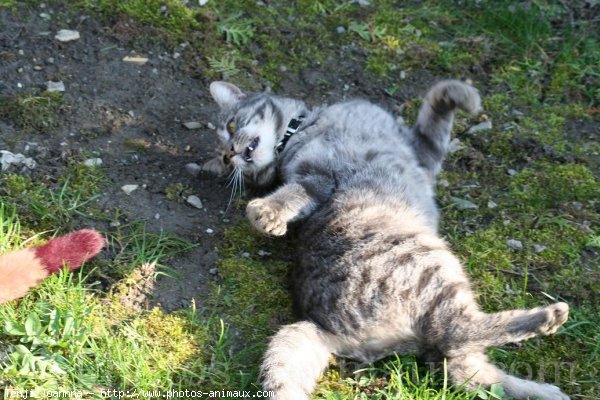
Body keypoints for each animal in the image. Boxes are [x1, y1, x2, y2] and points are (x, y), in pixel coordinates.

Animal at [205, 79, 568, 400]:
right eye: (223, 155)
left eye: (232, 125)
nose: (231, 153)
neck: (306, 126)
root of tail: (326, 329)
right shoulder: (414, 152)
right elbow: (438, 100)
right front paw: (465, 95)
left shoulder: (316, 177)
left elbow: (296, 193)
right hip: (433, 272)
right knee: (457, 337)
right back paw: (546, 317)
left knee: (468, 372)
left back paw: (542, 392)